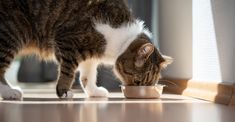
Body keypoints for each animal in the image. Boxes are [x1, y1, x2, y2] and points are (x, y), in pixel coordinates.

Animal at [0, 0, 173, 99]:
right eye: (137, 81)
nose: (138, 92)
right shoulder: (67, 42)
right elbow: (68, 72)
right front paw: (63, 91)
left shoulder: (89, 57)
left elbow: (88, 76)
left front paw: (94, 92)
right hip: (12, 33)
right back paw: (9, 92)